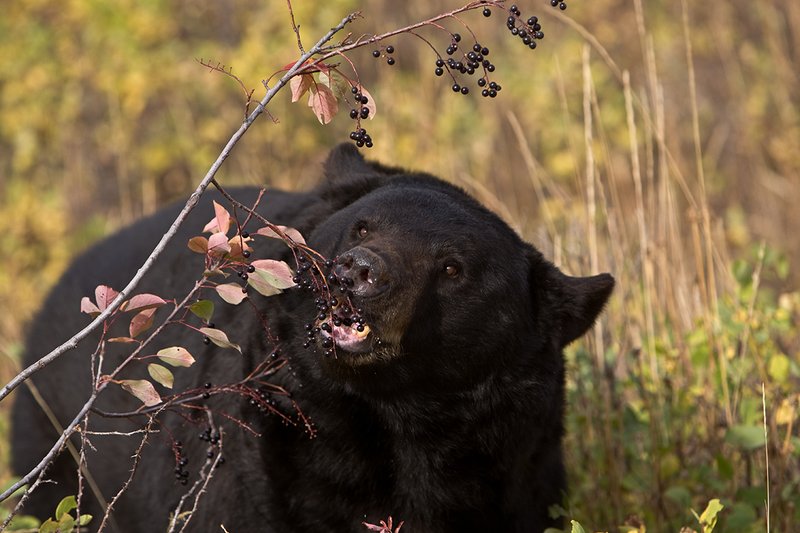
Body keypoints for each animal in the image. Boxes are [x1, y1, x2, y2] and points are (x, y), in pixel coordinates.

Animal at [11, 144, 614, 532]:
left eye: (452, 267)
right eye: (363, 226)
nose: (359, 272)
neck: (392, 420)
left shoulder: (514, 473)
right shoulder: (267, 475)